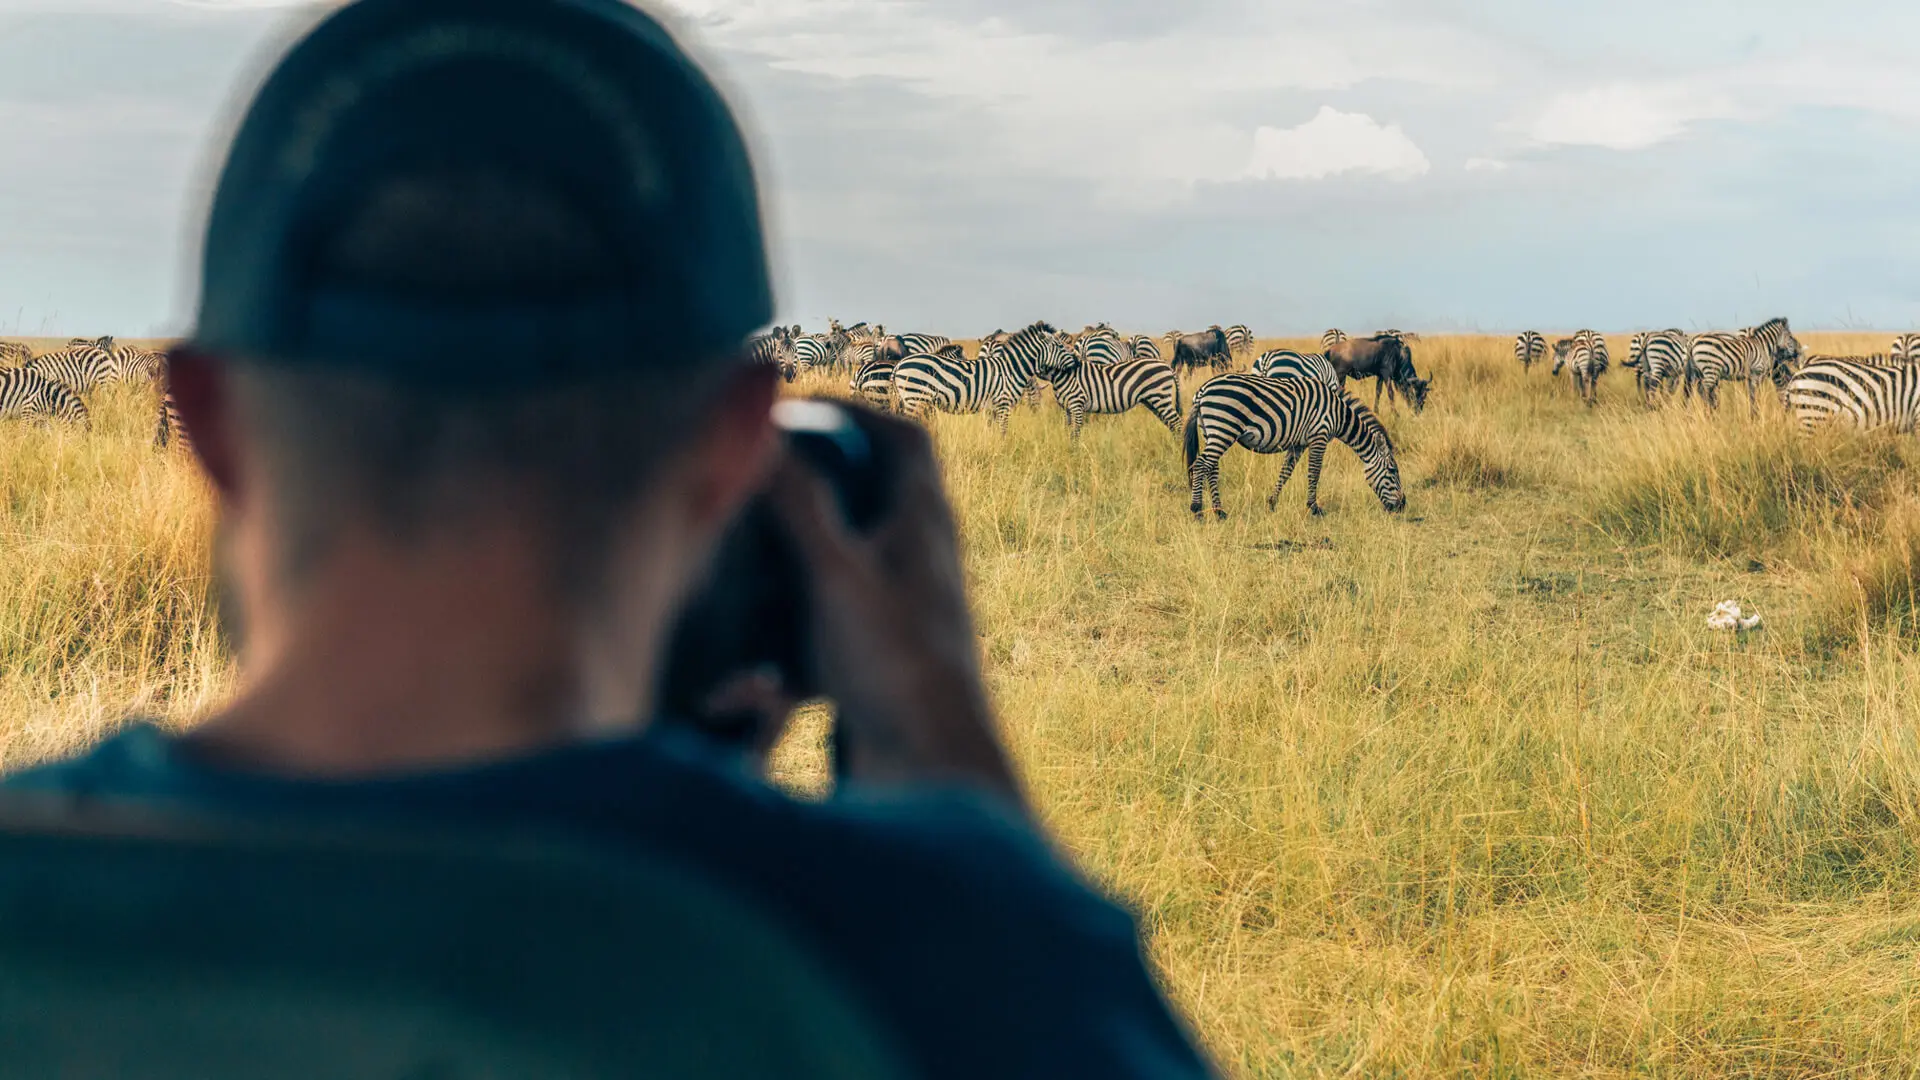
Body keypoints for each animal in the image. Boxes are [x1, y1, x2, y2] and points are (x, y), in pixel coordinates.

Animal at [1036, 352, 1182, 439]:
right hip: (1152, 401)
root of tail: (1167, 366)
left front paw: (1075, 454)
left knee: (1177, 423)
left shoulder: (1077, 403)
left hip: (1160, 397)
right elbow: (1068, 430)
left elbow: (1075, 432)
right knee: (1171, 424)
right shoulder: (1067, 408)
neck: (1064, 374)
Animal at [1184, 374, 1404, 519]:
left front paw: (1272, 503)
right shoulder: (1319, 436)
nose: (1403, 506)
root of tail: (1202, 391)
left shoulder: (1298, 444)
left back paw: (1219, 511)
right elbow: (1314, 472)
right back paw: (1197, 509)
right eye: (1392, 471)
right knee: (1201, 464)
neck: (1338, 414)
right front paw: (1314, 508)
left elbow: (1285, 472)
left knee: (1211, 468)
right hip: (1224, 427)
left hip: (1212, 431)